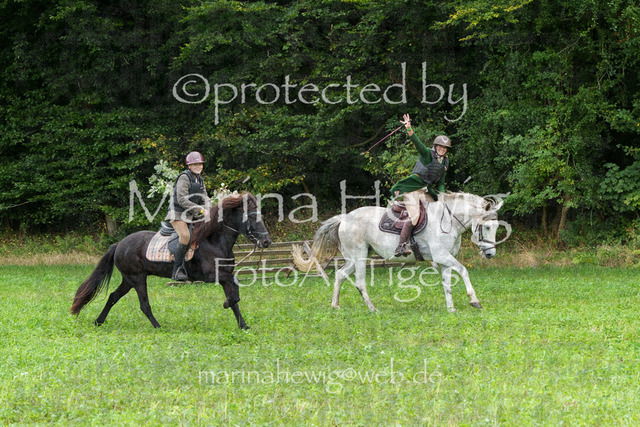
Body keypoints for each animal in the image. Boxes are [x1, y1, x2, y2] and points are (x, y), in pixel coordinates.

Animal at [70, 192, 272, 329]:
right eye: (252, 216)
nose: (266, 241)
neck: (215, 240)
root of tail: (119, 244)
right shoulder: (212, 276)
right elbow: (234, 293)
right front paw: (225, 304)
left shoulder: (224, 276)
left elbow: (235, 299)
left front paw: (243, 325)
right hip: (137, 278)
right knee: (144, 305)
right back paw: (158, 326)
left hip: (128, 280)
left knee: (113, 296)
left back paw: (98, 321)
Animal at [293, 192, 507, 312]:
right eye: (487, 227)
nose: (490, 254)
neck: (449, 221)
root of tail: (344, 218)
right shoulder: (442, 256)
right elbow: (463, 271)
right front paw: (474, 300)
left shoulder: (444, 260)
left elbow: (447, 284)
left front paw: (451, 309)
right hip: (360, 257)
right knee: (360, 283)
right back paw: (372, 309)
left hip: (354, 258)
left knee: (340, 275)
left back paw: (335, 305)